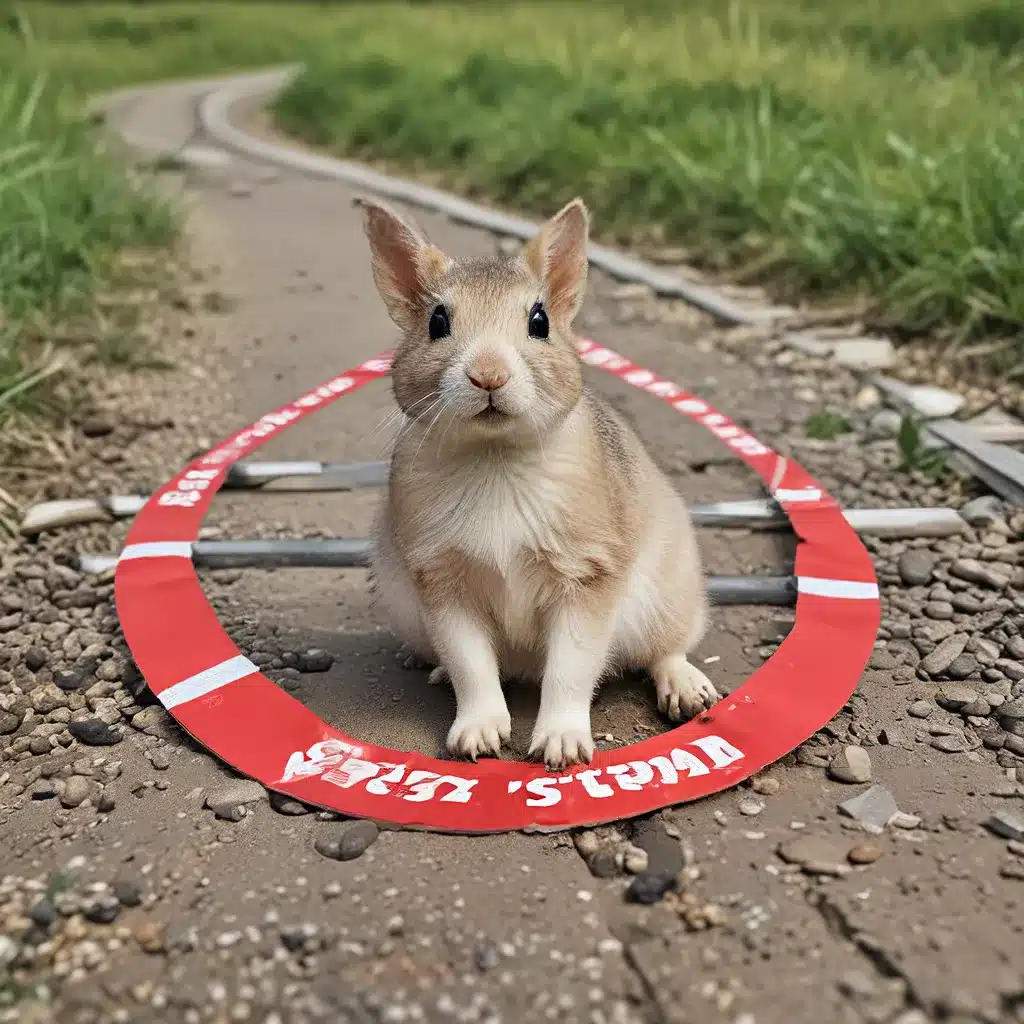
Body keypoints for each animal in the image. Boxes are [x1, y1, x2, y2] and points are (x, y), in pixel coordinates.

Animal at [360, 193, 720, 770]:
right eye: (437, 321)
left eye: (539, 320)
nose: (488, 375)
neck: (497, 457)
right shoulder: (444, 585)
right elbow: (471, 666)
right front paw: (477, 735)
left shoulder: (586, 579)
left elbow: (571, 671)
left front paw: (561, 744)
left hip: (669, 599)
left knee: (666, 649)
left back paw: (684, 687)